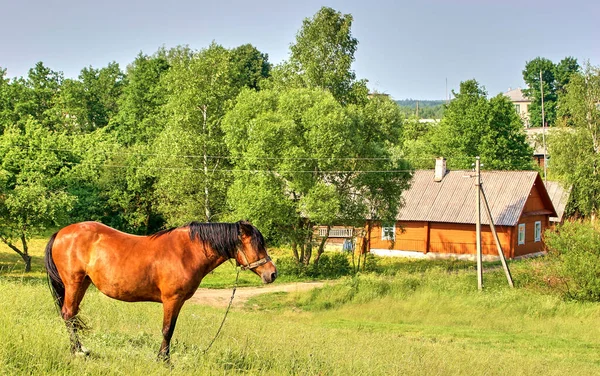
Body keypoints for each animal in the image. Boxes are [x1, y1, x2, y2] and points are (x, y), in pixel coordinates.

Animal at [44, 220, 276, 358]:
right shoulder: (172, 299)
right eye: (257, 245)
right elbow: (167, 330)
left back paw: (81, 349)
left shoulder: (177, 302)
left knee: (72, 316)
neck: (186, 252)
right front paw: (164, 360)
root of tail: (61, 232)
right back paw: (77, 352)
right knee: (68, 315)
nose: (272, 273)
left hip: (82, 283)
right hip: (73, 283)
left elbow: (170, 330)